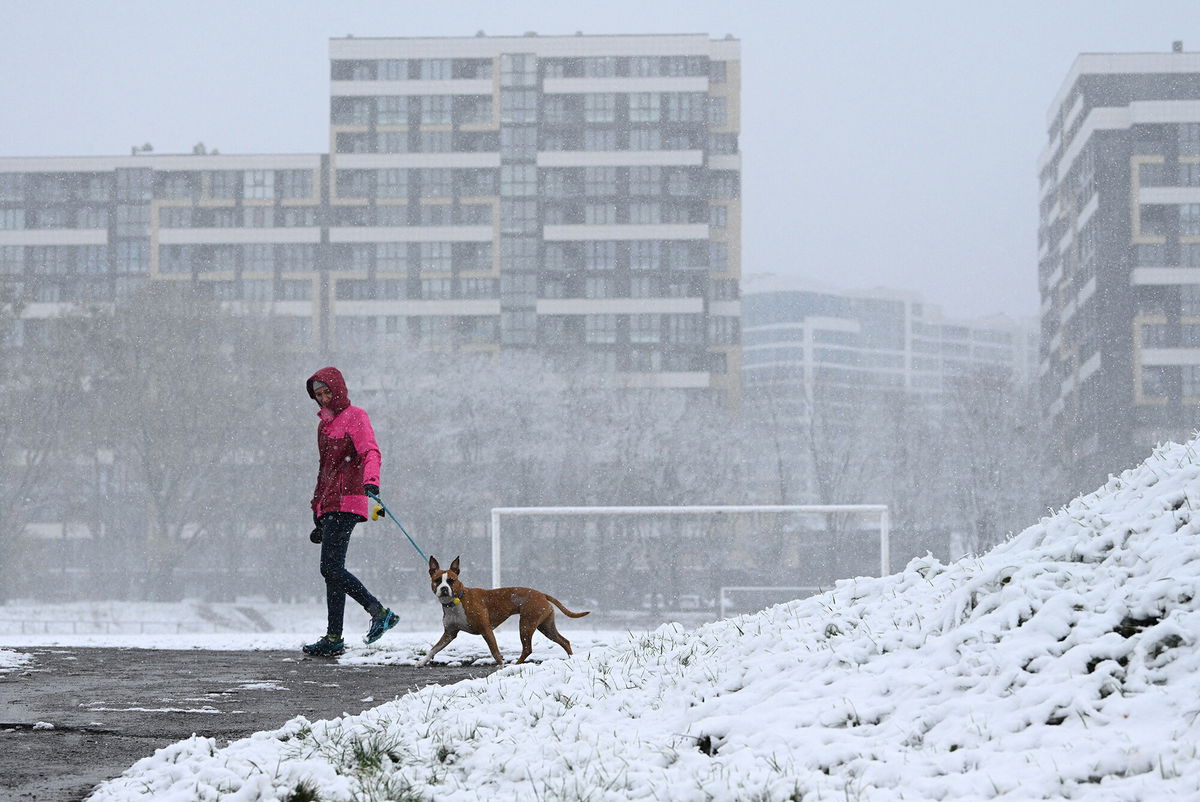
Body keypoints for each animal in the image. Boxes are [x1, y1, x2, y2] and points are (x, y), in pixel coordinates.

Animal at [417, 554, 590, 667]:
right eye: (437, 580)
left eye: (451, 581)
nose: (444, 589)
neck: (456, 601)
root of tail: (541, 594)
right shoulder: (449, 634)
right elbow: (433, 649)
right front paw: (422, 662)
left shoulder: (486, 630)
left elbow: (495, 651)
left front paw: (501, 666)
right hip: (546, 626)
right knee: (564, 641)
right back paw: (572, 660)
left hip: (526, 625)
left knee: (527, 649)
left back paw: (516, 664)